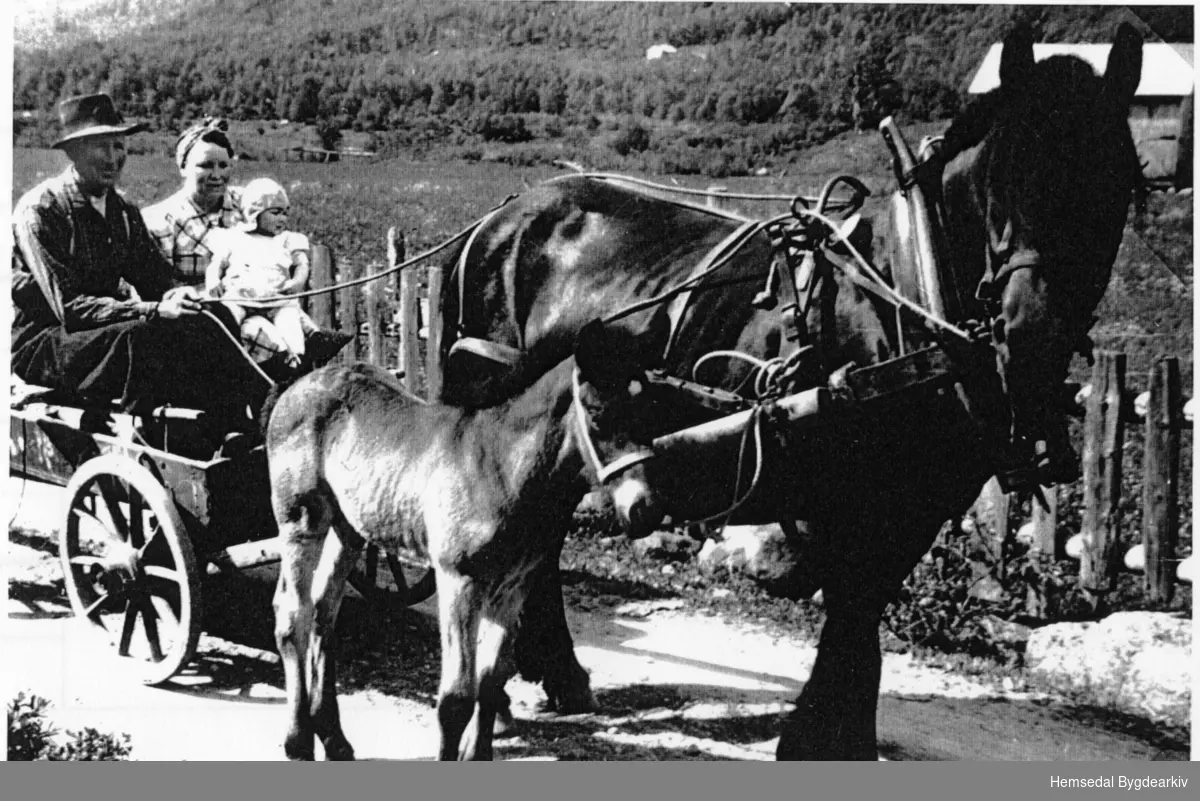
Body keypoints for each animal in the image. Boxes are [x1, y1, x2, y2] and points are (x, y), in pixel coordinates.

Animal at [434, 25, 1142, 762]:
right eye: (1001, 183)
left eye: (1117, 183)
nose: (1031, 334)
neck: (910, 292)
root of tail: (498, 221)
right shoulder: (853, 494)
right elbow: (853, 608)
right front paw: (814, 737)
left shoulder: (919, 499)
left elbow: (865, 610)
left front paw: (841, 735)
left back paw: (548, 672)